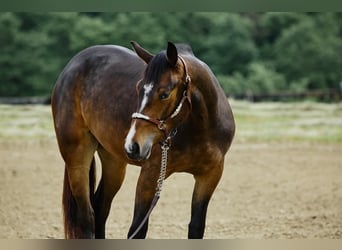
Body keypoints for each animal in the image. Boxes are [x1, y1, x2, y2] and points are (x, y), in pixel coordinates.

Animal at [51, 40, 235, 238]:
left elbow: (196, 227)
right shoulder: (150, 175)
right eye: (138, 88)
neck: (200, 129)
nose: (133, 145)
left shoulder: (210, 175)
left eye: (164, 94)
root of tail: (72, 65)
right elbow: (138, 228)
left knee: (100, 209)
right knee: (86, 216)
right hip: (77, 159)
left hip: (114, 162)